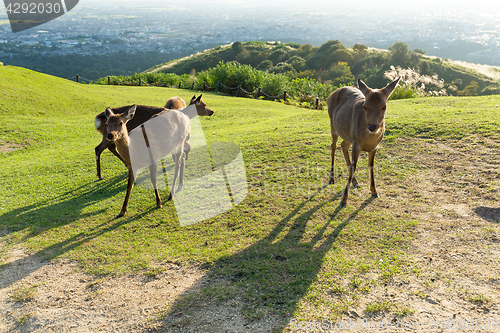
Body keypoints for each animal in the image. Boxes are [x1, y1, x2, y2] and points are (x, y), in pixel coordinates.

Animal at [326, 78, 400, 206]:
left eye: (384, 107)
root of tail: (331, 94)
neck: (368, 141)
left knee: (343, 145)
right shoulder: (357, 144)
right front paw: (343, 201)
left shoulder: (375, 147)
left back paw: (355, 182)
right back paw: (332, 179)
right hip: (333, 125)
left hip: (348, 136)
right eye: (365, 106)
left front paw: (374, 192)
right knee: (333, 146)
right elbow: (354, 166)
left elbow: (371, 166)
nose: (372, 127)